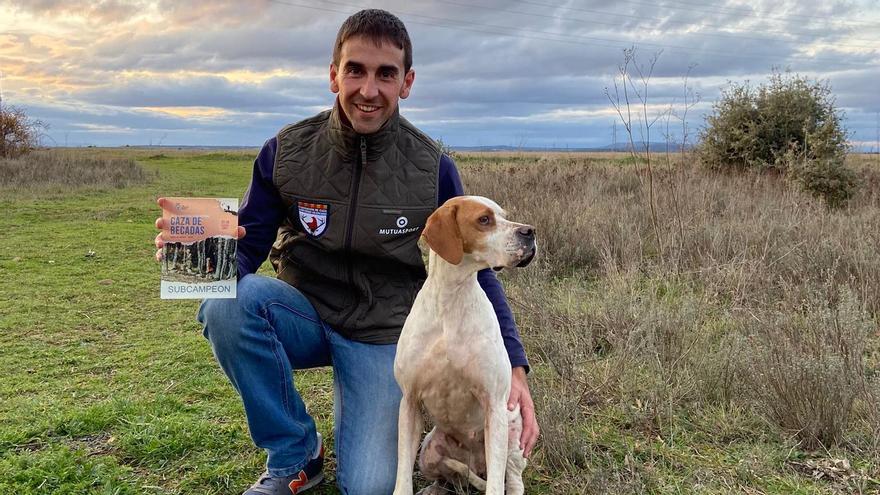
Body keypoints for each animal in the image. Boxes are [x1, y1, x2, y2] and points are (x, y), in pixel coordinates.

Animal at [394, 198, 536, 495]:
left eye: (504, 216)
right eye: (484, 220)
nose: (530, 232)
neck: (452, 297)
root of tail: (475, 463)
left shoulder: (494, 404)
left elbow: (496, 487)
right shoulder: (409, 401)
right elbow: (402, 477)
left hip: (510, 435)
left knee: (511, 479)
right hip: (428, 451)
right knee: (450, 477)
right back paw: (435, 488)